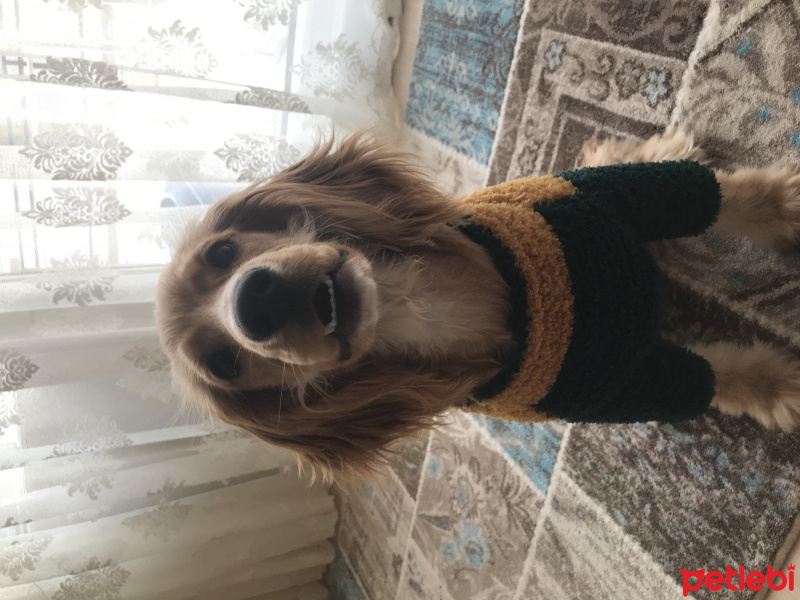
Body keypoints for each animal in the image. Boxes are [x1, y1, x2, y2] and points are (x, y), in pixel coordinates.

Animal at [155, 130, 800, 478]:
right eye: (224, 364)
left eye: (223, 251)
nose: (254, 304)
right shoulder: (630, 385)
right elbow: (718, 376)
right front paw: (776, 388)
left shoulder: (631, 196)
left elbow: (725, 195)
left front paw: (785, 202)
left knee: (625, 159)